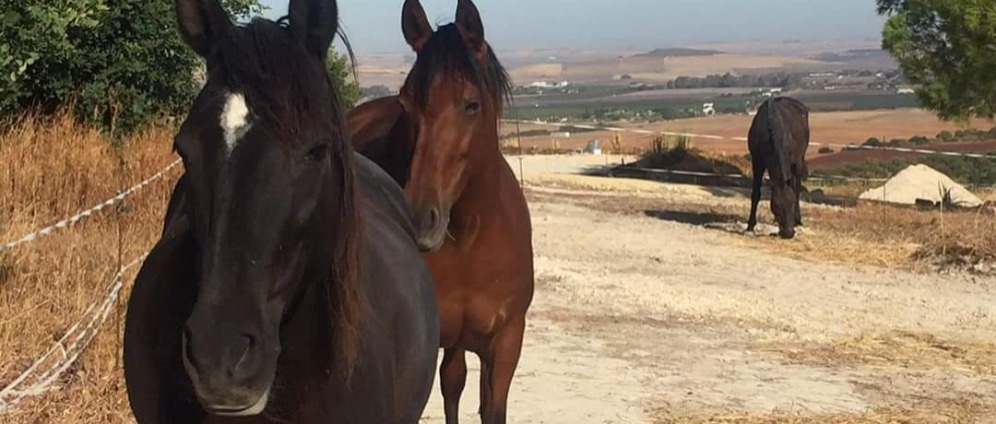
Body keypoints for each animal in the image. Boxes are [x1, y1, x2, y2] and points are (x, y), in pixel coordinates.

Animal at [747, 97, 811, 239]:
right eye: (777, 205)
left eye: (791, 203)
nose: (789, 233)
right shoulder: (757, 161)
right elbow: (755, 193)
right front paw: (750, 225)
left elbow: (795, 191)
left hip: (799, 160)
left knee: (797, 187)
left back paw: (798, 219)